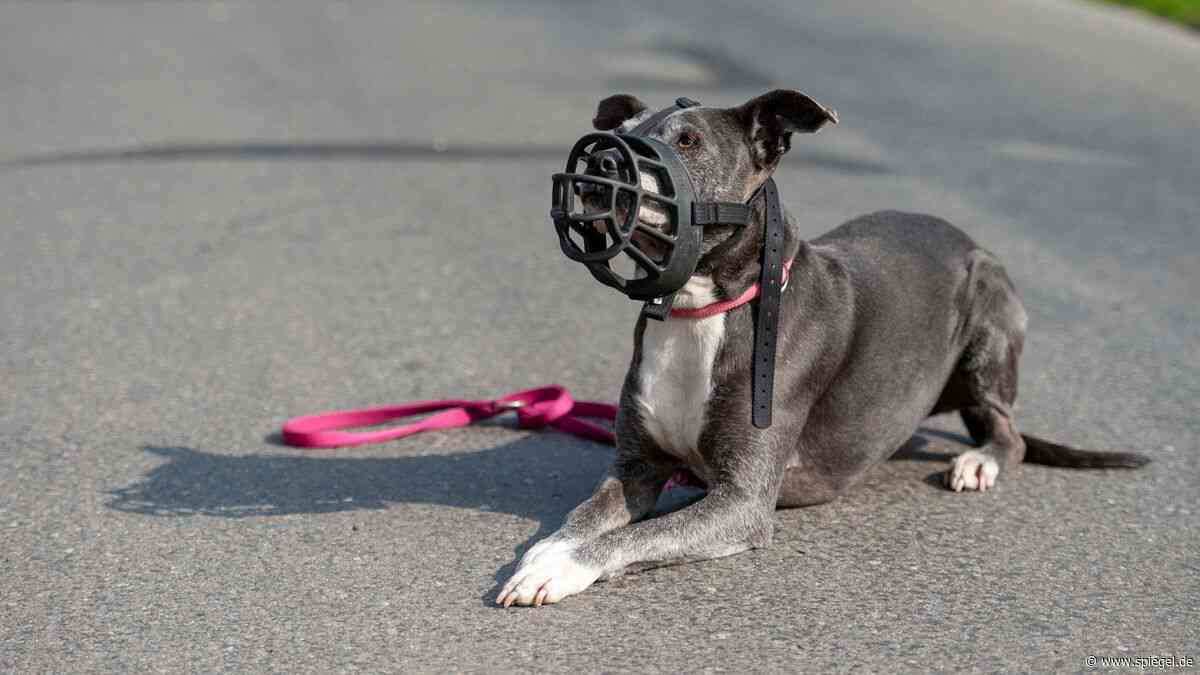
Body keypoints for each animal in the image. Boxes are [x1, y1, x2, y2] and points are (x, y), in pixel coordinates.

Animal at [494, 88, 1142, 605]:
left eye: (689, 140)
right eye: (623, 133)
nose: (603, 159)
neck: (702, 308)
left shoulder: (742, 501)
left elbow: (637, 534)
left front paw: (559, 567)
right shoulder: (636, 466)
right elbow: (586, 515)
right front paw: (548, 550)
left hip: (989, 323)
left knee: (1009, 432)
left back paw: (978, 461)